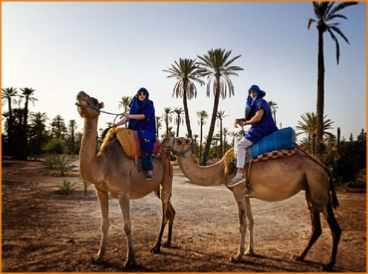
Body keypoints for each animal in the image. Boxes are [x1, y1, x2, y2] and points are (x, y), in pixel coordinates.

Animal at [75, 91, 175, 268]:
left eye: (94, 100)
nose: (80, 94)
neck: (102, 165)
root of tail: (166, 154)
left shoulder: (123, 192)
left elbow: (127, 226)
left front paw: (130, 260)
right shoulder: (100, 190)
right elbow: (104, 225)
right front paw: (98, 257)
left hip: (167, 178)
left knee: (164, 213)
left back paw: (156, 247)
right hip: (156, 187)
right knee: (171, 211)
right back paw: (167, 243)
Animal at [161, 136, 342, 270]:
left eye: (180, 141)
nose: (163, 139)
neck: (220, 170)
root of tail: (325, 168)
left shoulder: (238, 192)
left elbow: (242, 224)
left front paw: (237, 256)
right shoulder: (246, 195)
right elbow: (251, 221)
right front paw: (250, 250)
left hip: (318, 188)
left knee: (335, 228)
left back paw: (329, 264)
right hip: (310, 190)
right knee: (316, 227)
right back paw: (299, 256)